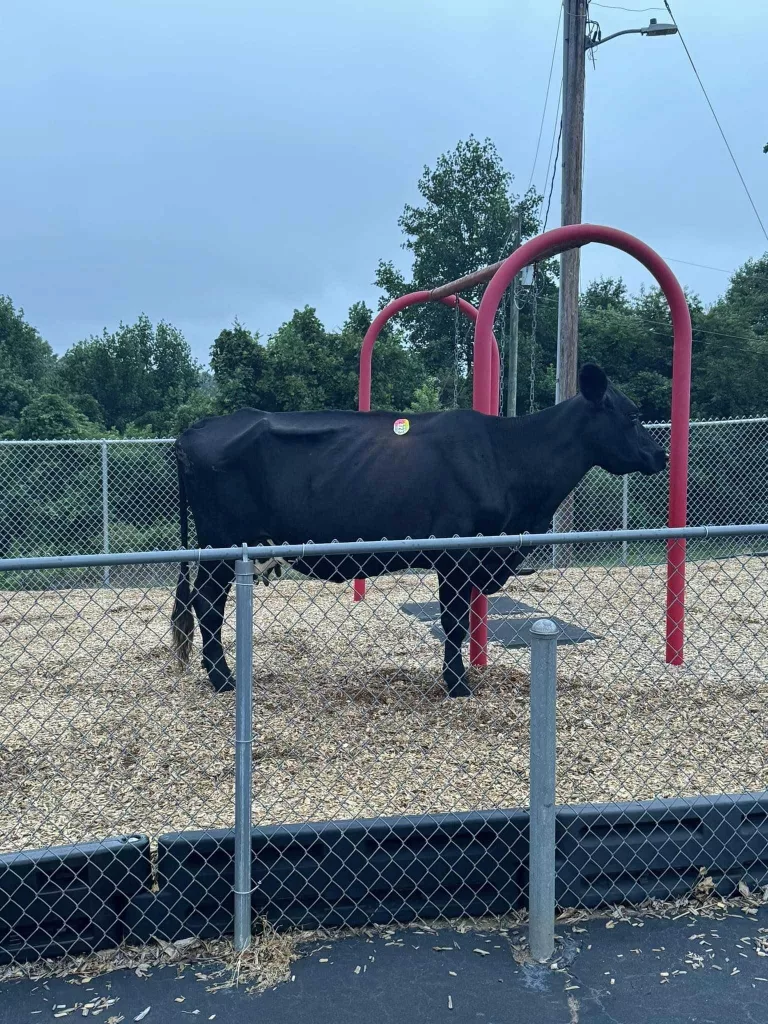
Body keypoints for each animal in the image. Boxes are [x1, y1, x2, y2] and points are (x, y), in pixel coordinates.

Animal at [171, 364, 666, 698]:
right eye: (632, 415)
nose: (660, 455)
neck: (506, 455)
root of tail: (197, 428)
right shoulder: (457, 556)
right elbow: (454, 623)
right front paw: (457, 684)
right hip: (220, 541)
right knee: (207, 605)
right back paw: (223, 679)